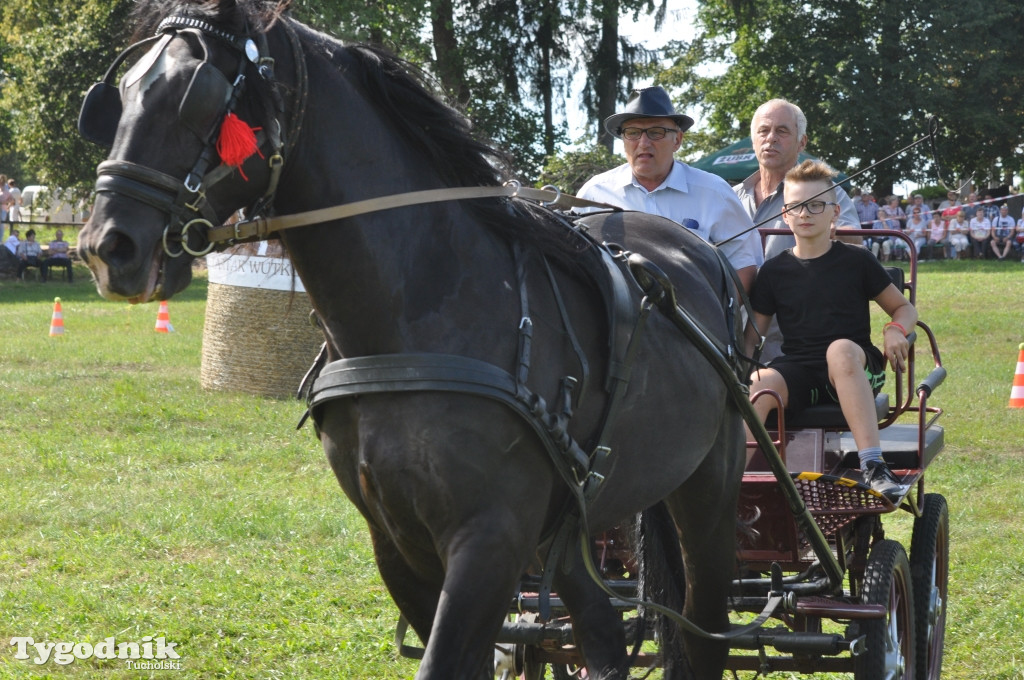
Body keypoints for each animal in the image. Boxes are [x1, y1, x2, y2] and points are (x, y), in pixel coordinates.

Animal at [77, 2, 745, 675]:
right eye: (120, 94)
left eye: (197, 94)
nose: (108, 246)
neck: (414, 316)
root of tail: (697, 250)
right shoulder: (397, 540)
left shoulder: (489, 538)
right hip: (566, 527)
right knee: (602, 627)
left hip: (709, 490)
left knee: (705, 627)